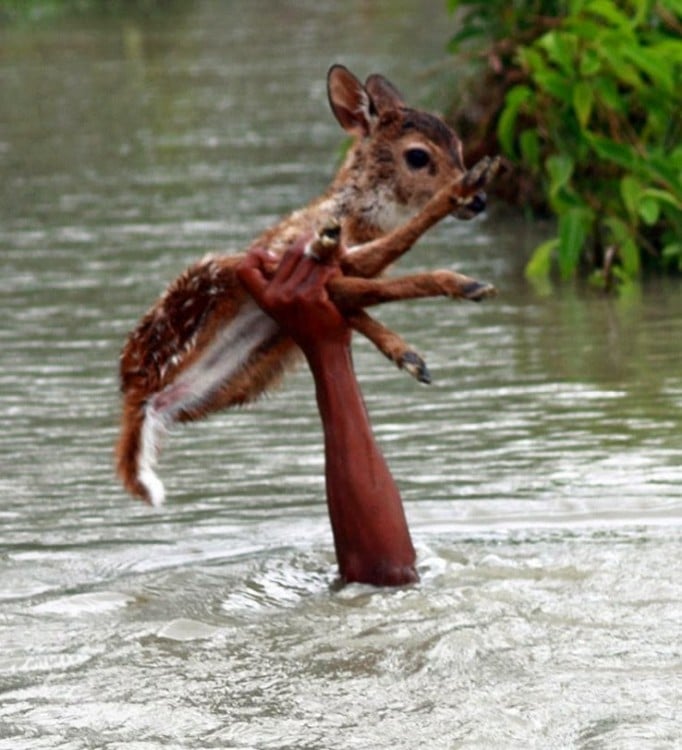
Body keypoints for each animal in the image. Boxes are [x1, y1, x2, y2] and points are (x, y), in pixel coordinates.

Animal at [117, 64, 500, 508]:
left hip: (247, 375)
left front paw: (409, 355)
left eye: (458, 143)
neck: (354, 218)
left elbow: (364, 296)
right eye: (418, 155)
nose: (479, 201)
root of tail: (138, 394)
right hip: (214, 277)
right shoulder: (290, 256)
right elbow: (376, 274)